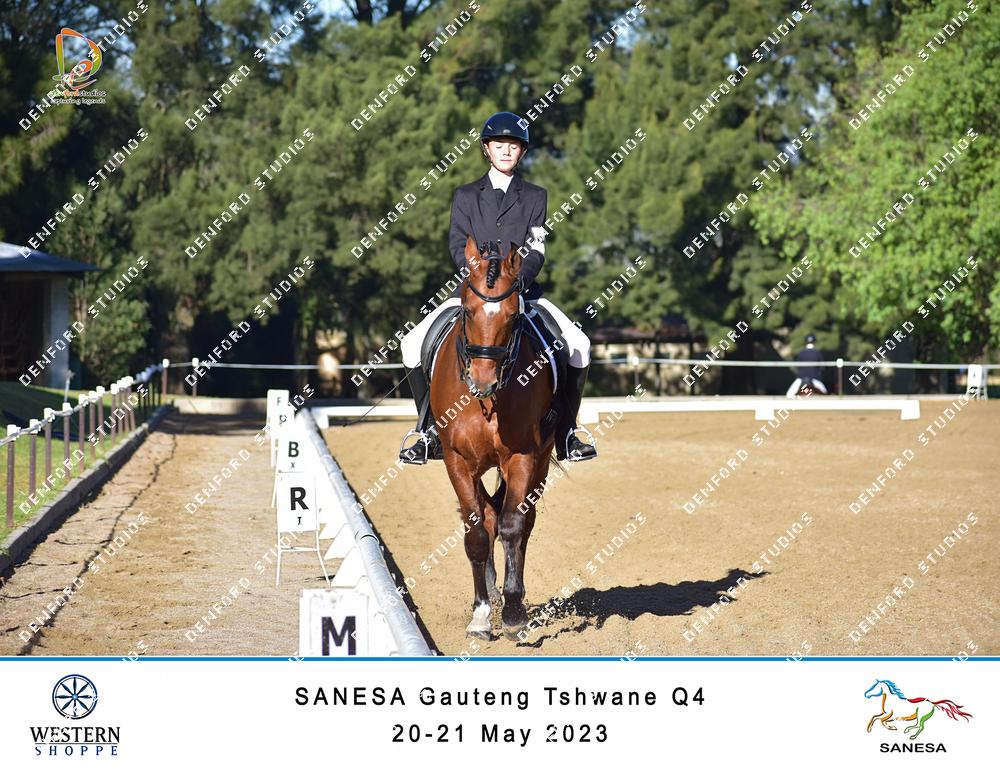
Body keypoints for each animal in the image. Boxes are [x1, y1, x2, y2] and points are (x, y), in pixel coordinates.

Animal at [430, 236, 558, 641]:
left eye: (513, 316)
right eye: (468, 312)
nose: (482, 381)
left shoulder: (523, 456)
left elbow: (513, 525)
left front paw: (514, 612)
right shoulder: (456, 460)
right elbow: (476, 533)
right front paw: (481, 614)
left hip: (542, 460)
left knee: (521, 521)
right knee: (486, 517)